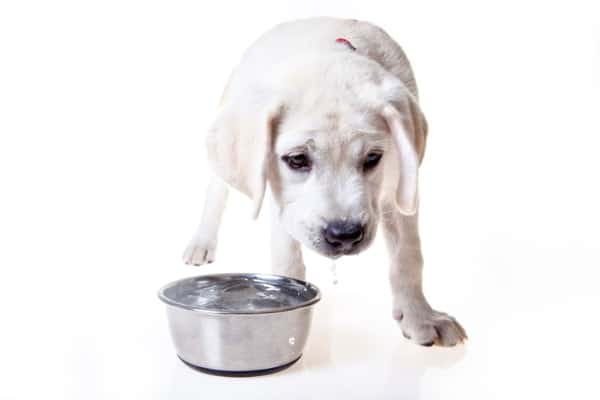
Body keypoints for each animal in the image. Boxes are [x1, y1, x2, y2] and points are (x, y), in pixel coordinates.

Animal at [185, 17, 466, 346]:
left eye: (373, 158)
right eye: (297, 160)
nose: (344, 235)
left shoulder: (402, 185)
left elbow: (408, 255)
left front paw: (420, 316)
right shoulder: (284, 204)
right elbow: (287, 258)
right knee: (216, 191)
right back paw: (201, 243)